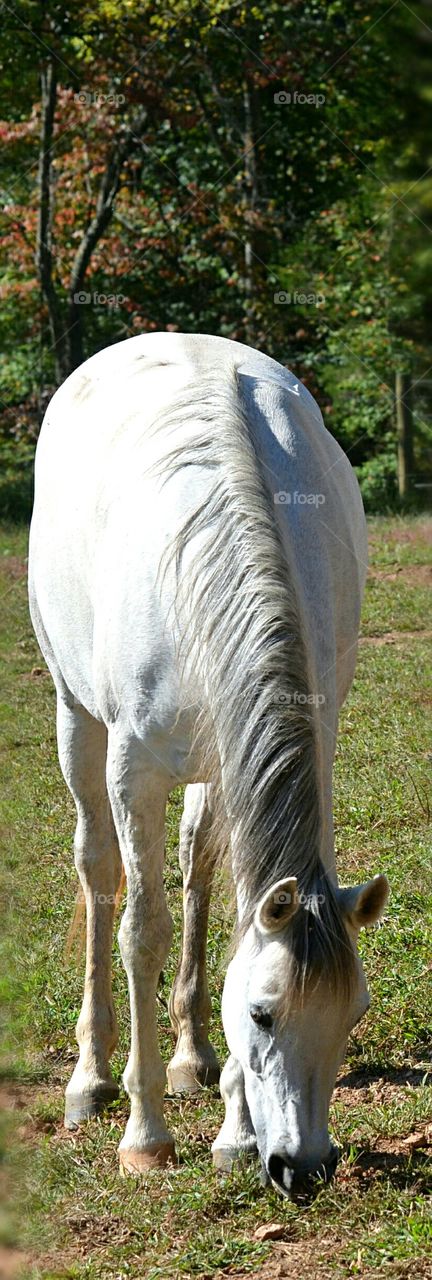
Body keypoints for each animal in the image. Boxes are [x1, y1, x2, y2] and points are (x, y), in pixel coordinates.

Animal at [28, 332, 389, 1198]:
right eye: (262, 1014)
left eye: (355, 1012)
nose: (304, 1167)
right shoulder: (134, 771)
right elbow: (142, 930)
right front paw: (145, 1133)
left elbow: (225, 915)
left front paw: (232, 1132)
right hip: (75, 717)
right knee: (97, 871)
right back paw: (90, 1080)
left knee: (195, 866)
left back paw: (191, 1060)